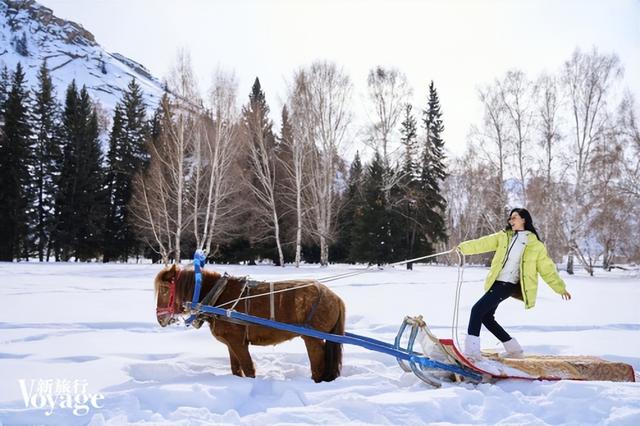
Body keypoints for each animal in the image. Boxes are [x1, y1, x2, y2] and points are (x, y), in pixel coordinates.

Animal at [154, 266, 344, 382]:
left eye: (164, 289)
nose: (160, 318)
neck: (218, 297)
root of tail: (335, 297)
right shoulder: (231, 344)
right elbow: (236, 370)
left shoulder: (238, 343)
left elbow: (248, 368)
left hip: (313, 339)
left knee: (318, 366)